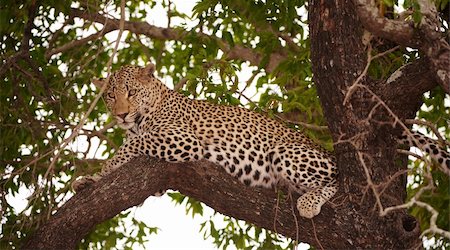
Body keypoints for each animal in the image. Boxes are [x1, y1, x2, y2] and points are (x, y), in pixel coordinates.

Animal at [72, 63, 448, 219]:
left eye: (131, 92)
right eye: (109, 96)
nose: (121, 114)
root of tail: (324, 148)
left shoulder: (182, 140)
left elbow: (133, 145)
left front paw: (106, 164)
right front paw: (90, 179)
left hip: (287, 153)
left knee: (339, 179)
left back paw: (309, 203)